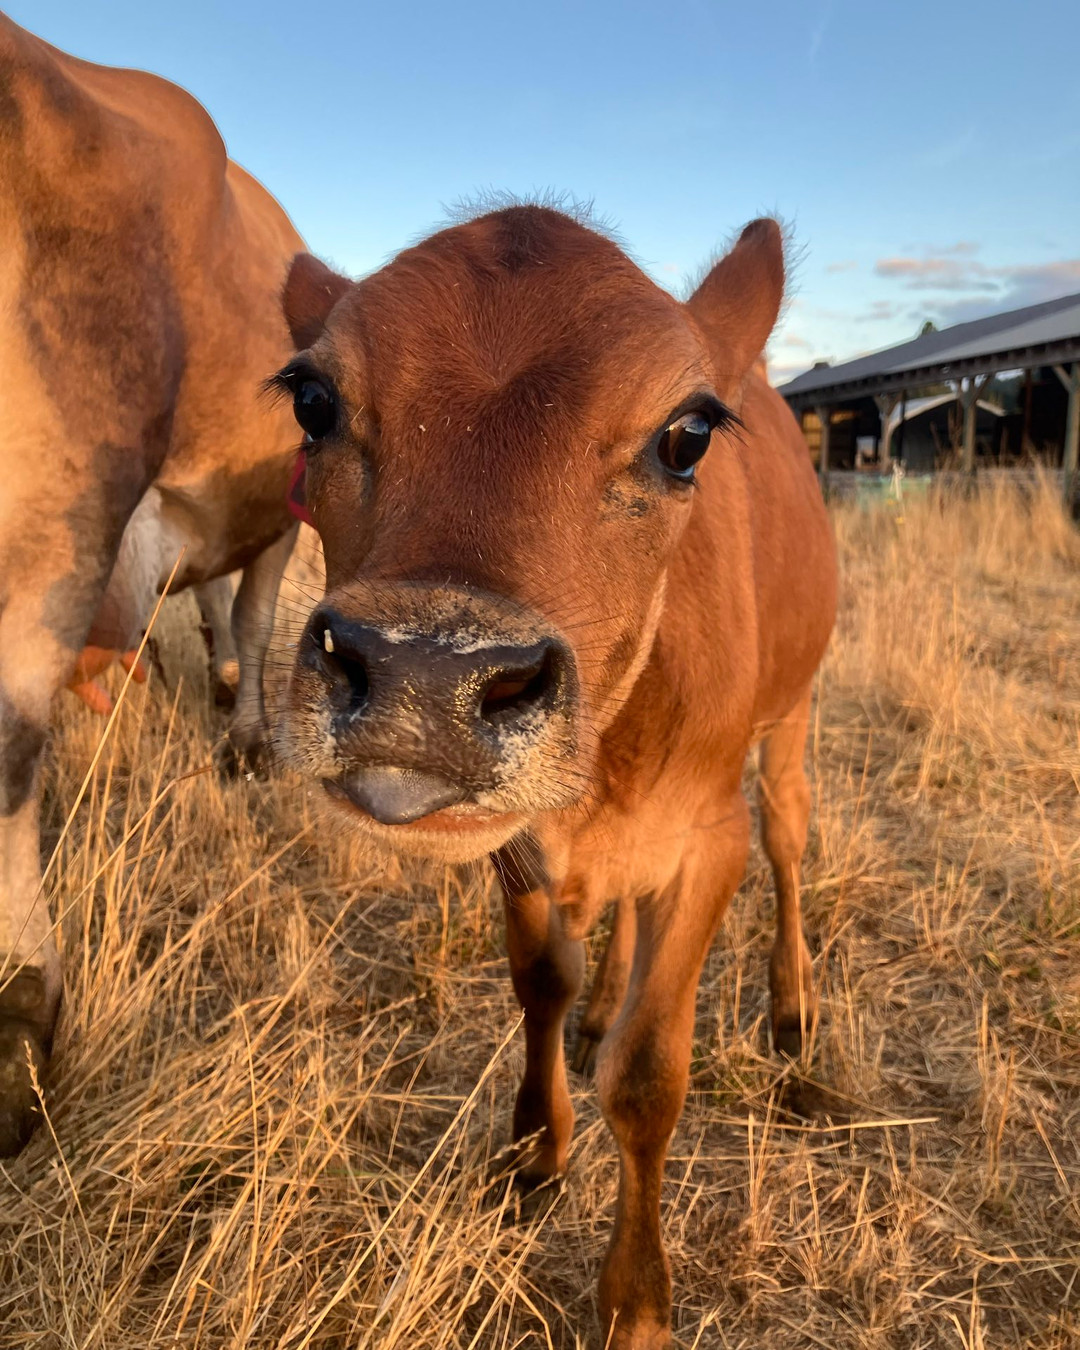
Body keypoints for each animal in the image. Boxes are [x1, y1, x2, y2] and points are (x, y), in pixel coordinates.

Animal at [271, 204, 838, 1348]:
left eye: (686, 435)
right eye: (313, 400)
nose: (425, 676)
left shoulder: (707, 840)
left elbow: (650, 1075)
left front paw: (637, 1296)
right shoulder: (523, 847)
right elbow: (540, 984)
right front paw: (535, 1152)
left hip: (792, 719)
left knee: (792, 844)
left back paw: (793, 1007)